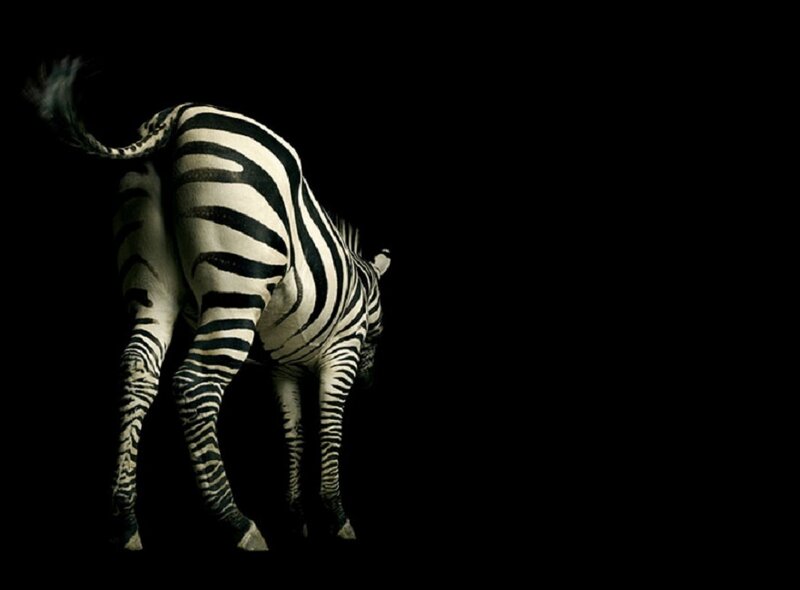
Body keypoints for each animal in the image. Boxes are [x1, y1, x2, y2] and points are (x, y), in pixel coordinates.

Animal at [29, 58, 391, 551]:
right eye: (378, 329)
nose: (372, 384)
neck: (360, 284)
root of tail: (176, 115)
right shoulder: (341, 353)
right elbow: (328, 428)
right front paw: (336, 518)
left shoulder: (283, 368)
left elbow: (294, 433)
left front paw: (297, 517)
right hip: (240, 283)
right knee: (194, 383)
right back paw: (239, 524)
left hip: (151, 281)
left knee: (139, 367)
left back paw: (125, 524)